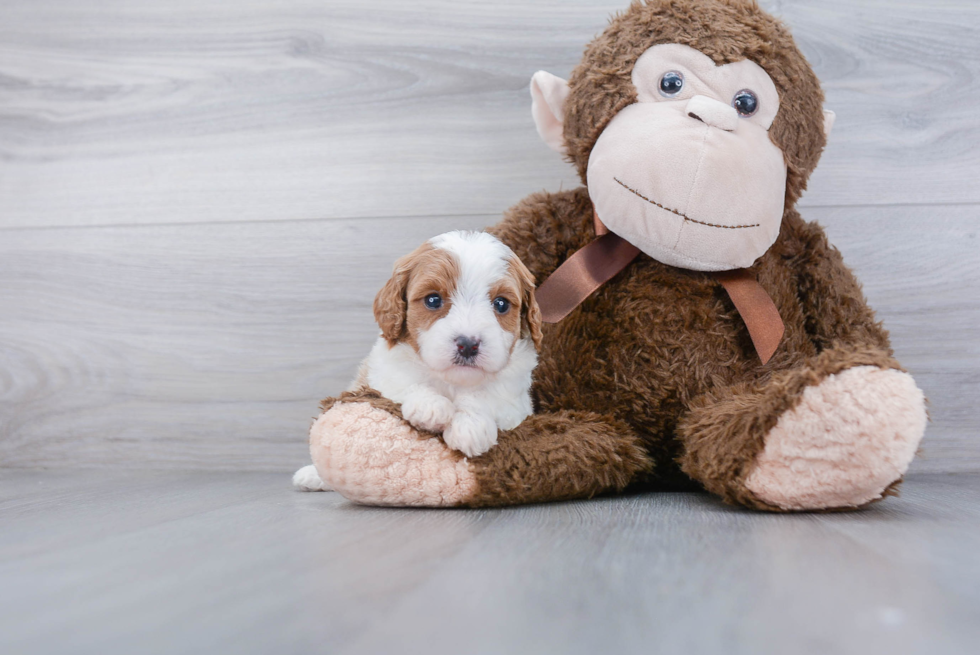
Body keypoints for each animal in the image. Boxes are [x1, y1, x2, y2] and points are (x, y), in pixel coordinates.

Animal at [294, 232, 544, 492]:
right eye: (433, 300)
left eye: (501, 304)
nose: (467, 344)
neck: (453, 382)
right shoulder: (384, 374)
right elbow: (406, 382)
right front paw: (430, 406)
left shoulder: (516, 402)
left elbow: (488, 397)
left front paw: (471, 426)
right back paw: (312, 476)